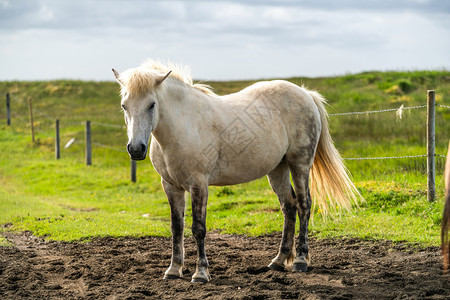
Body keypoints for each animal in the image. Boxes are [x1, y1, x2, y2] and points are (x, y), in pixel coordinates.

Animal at [113, 60, 362, 282]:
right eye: (124, 105)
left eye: (152, 104)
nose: (136, 149)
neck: (184, 126)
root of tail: (305, 94)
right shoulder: (171, 186)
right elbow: (177, 227)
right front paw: (173, 270)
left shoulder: (198, 185)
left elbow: (198, 228)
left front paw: (201, 274)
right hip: (277, 169)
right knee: (289, 207)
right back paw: (279, 261)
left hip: (300, 165)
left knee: (304, 205)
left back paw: (300, 260)